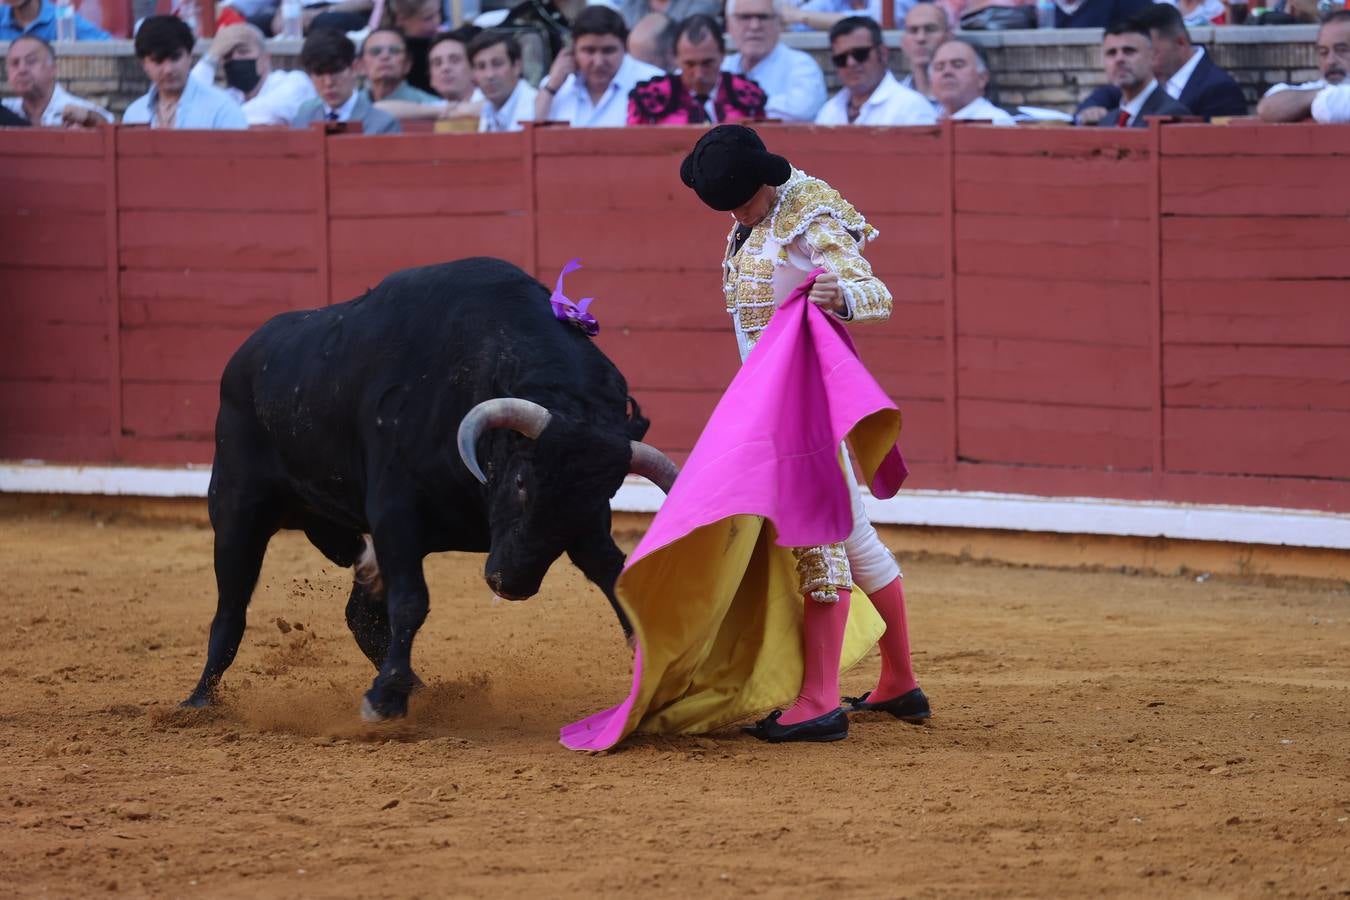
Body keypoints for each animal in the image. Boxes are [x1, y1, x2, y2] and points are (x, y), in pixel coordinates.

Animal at [184, 256, 680, 723]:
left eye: (603, 495)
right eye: (521, 481)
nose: (511, 584)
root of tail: (246, 355)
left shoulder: (587, 529)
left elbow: (617, 577)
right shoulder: (394, 512)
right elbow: (411, 601)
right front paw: (384, 701)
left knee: (359, 611)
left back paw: (418, 686)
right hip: (236, 509)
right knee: (231, 610)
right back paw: (199, 701)